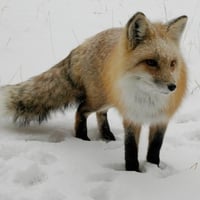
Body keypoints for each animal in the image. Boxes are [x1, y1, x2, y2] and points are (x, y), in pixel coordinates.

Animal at [0, 12, 188, 172]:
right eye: (151, 62)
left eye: (172, 63)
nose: (173, 87)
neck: (148, 100)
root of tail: (85, 43)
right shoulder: (131, 115)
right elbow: (131, 149)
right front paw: (133, 172)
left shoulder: (161, 118)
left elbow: (155, 148)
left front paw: (153, 168)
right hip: (100, 98)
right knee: (81, 110)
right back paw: (82, 138)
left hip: (109, 98)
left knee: (100, 114)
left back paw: (106, 135)